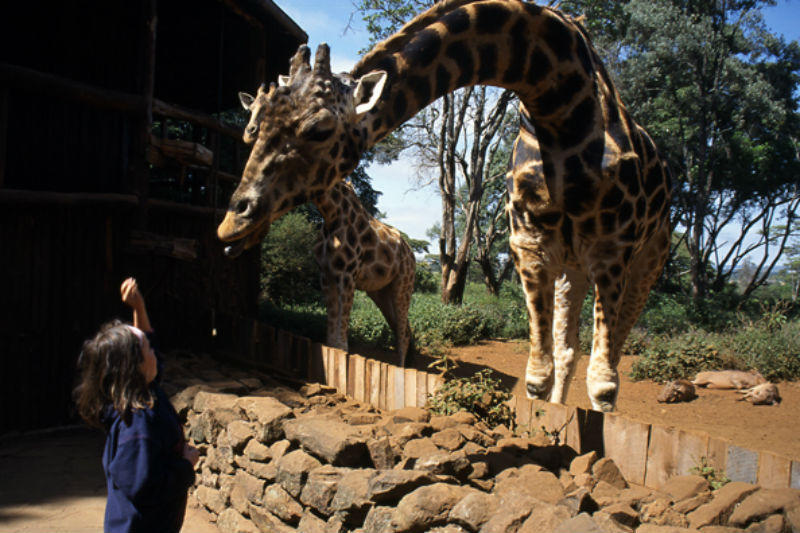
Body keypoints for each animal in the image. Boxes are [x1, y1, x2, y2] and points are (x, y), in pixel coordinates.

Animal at [238, 85, 417, 366]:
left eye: (278, 108)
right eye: (252, 107)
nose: (250, 131)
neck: (330, 212)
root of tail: (412, 254)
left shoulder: (347, 274)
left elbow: (341, 332)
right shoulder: (326, 272)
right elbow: (332, 329)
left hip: (404, 284)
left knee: (402, 331)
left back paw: (400, 368)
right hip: (381, 289)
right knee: (404, 328)